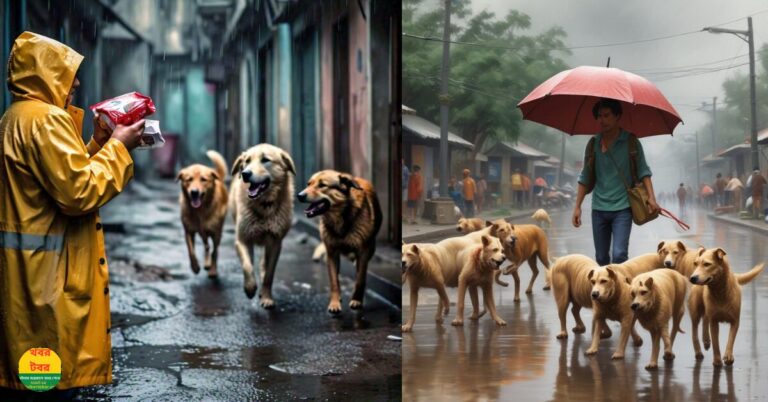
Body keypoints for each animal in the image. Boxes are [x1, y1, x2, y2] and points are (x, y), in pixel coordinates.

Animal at [178, 151, 228, 280]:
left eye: (203, 180)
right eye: (189, 179)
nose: (194, 192)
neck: (199, 212)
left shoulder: (215, 233)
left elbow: (215, 253)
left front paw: (213, 271)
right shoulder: (189, 232)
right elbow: (191, 251)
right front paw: (195, 267)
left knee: (212, 248)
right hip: (202, 233)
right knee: (206, 246)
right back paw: (206, 263)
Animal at [230, 144, 296, 308]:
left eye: (265, 160)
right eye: (247, 161)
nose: (245, 174)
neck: (264, 207)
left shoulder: (275, 243)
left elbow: (269, 274)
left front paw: (266, 297)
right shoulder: (242, 240)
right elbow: (247, 266)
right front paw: (250, 288)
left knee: (263, 265)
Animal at [298, 170, 384, 314]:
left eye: (322, 185)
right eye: (308, 184)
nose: (299, 196)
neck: (339, 219)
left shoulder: (363, 253)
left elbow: (360, 279)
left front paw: (357, 300)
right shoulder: (331, 253)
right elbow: (334, 281)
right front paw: (334, 302)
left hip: (371, 249)